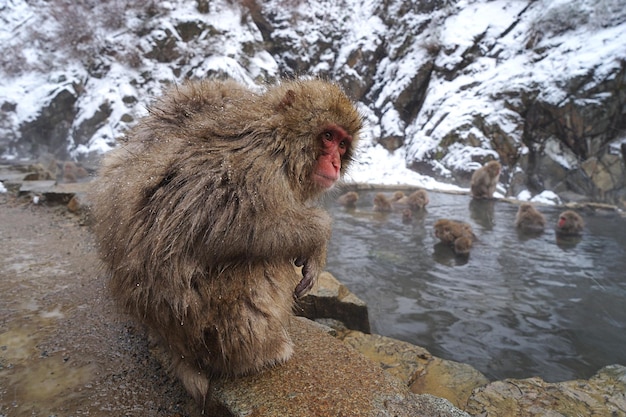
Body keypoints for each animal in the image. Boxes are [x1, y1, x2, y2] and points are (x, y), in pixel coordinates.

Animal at [88, 78, 360, 406]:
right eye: (328, 136)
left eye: (343, 144)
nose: (334, 162)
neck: (279, 137)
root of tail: (174, 341)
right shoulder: (256, 164)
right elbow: (230, 226)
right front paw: (319, 236)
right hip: (204, 319)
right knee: (258, 267)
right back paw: (262, 354)